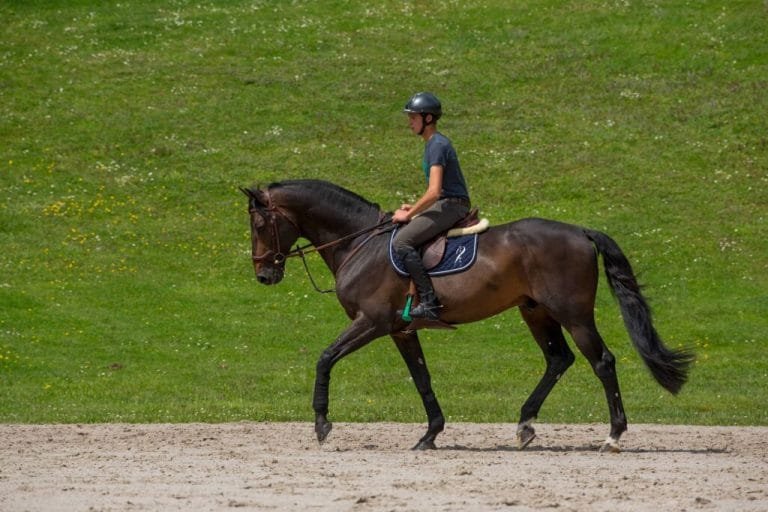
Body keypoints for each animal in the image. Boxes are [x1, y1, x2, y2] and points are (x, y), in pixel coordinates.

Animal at [242, 179, 693, 452]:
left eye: (260, 224)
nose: (264, 274)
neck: (361, 243)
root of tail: (580, 231)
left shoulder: (372, 322)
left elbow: (324, 358)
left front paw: (321, 424)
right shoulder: (401, 331)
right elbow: (422, 379)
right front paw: (430, 434)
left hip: (574, 314)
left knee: (601, 362)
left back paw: (614, 435)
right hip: (536, 312)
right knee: (558, 359)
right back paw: (525, 425)